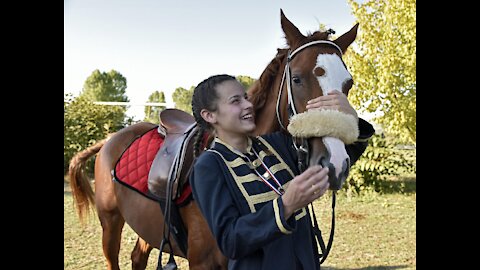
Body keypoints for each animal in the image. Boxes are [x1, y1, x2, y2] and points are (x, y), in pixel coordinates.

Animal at [69, 9, 358, 268]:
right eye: (296, 78)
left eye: (348, 85)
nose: (335, 163)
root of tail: (110, 140)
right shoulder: (202, 262)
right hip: (110, 223)